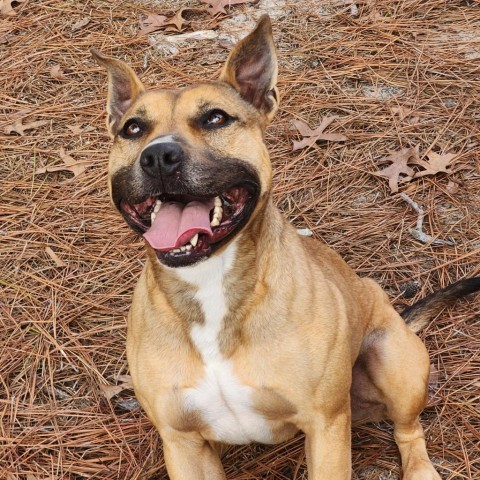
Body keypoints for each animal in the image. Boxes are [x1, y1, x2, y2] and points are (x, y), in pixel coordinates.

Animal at [92, 15, 478, 480]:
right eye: (133, 129)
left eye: (216, 118)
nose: (158, 156)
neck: (209, 281)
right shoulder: (183, 443)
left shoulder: (325, 425)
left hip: (395, 362)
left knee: (409, 430)